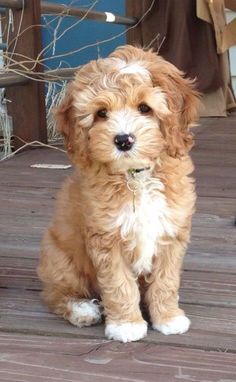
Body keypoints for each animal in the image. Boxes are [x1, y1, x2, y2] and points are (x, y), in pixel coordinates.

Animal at [38, 45, 199, 344]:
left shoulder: (171, 230)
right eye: (101, 113)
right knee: (57, 295)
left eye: (145, 108)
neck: (136, 177)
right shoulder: (107, 238)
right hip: (60, 259)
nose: (124, 140)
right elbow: (119, 284)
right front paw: (126, 324)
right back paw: (82, 310)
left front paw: (168, 317)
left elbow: (166, 280)